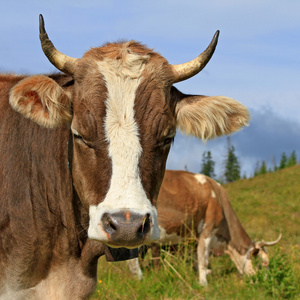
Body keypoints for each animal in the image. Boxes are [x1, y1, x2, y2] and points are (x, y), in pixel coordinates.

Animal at [127, 170, 282, 284]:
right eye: (263, 263)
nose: (267, 282)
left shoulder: (193, 239)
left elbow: (197, 259)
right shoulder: (207, 231)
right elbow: (204, 260)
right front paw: (204, 284)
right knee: (133, 259)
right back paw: (140, 279)